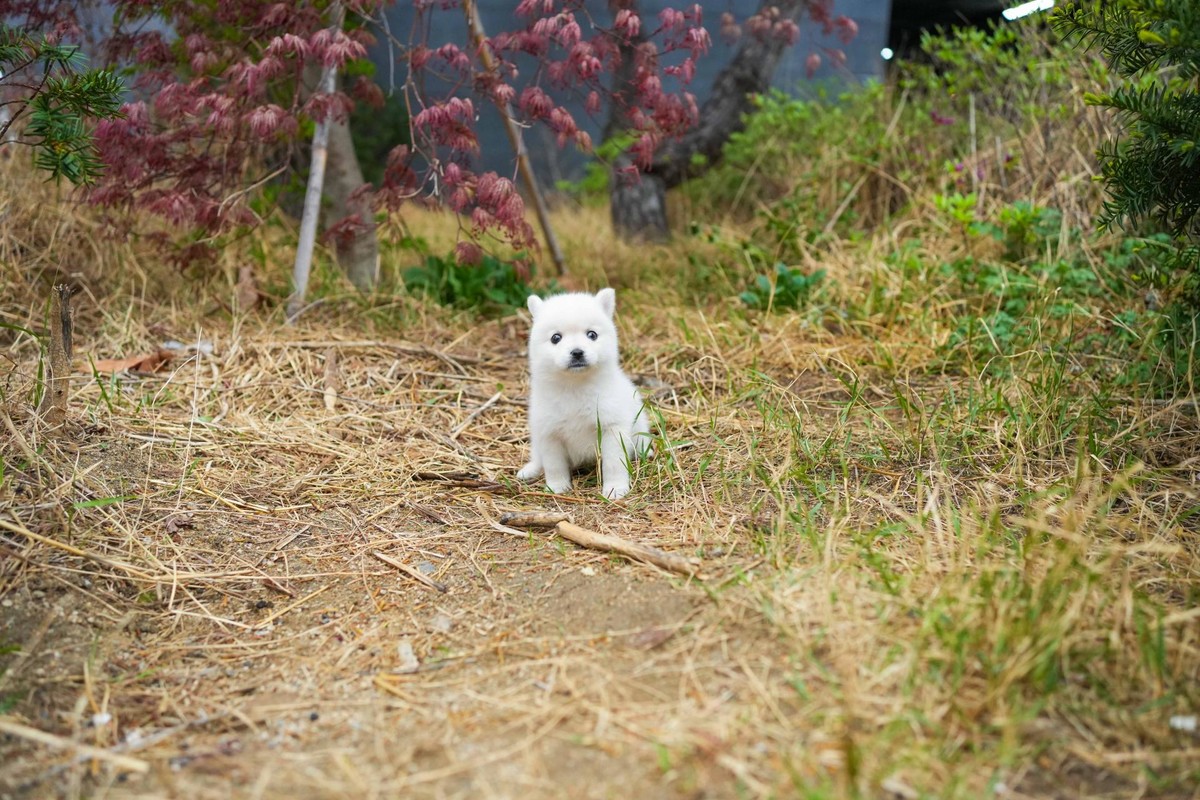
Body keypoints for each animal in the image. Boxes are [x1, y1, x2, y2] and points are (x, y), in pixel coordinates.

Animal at [516, 287, 648, 501]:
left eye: (592, 334)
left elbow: (614, 463)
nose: (577, 352)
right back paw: (530, 469)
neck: (575, 387)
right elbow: (554, 466)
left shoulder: (612, 428)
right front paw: (557, 487)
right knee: (538, 457)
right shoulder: (549, 433)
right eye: (556, 338)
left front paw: (615, 488)